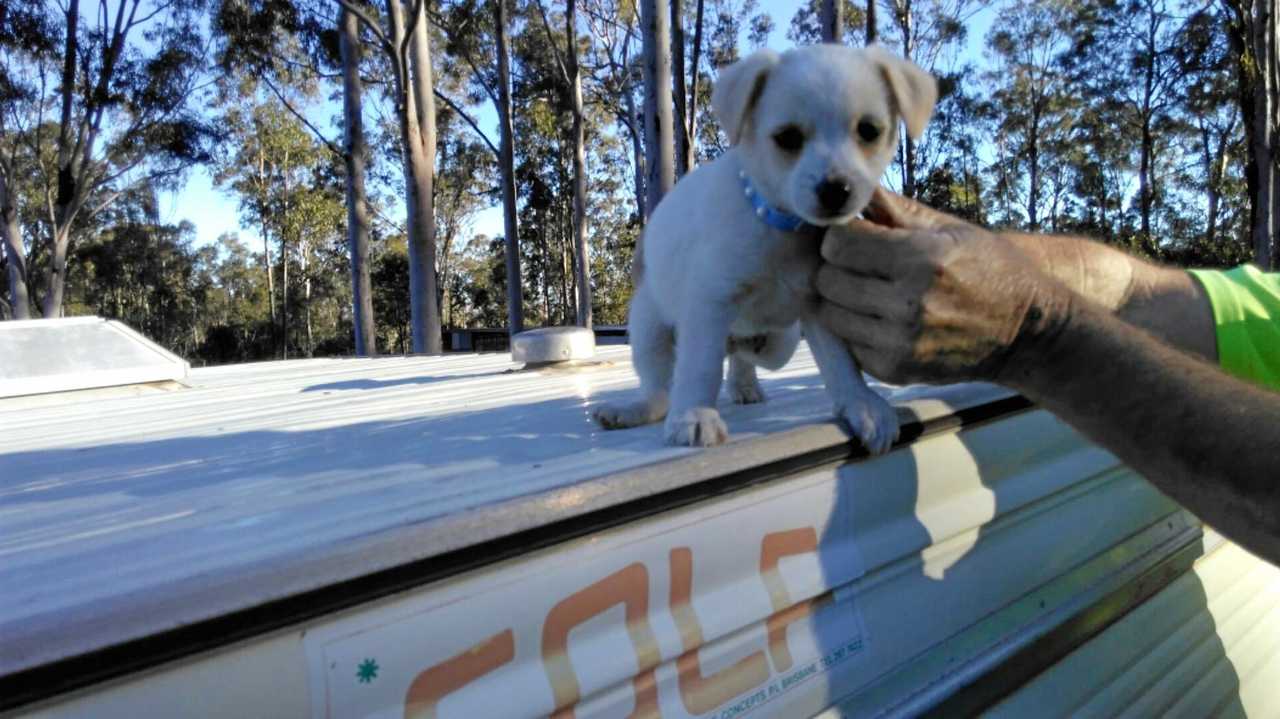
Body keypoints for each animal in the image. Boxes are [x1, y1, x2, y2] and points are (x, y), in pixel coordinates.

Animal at [593, 43, 936, 447]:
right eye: (788, 138)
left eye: (868, 131)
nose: (836, 191)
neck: (783, 228)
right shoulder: (709, 303)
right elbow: (699, 367)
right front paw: (694, 414)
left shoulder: (818, 306)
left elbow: (841, 364)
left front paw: (861, 404)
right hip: (649, 327)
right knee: (660, 390)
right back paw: (632, 410)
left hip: (780, 345)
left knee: (742, 356)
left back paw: (744, 379)